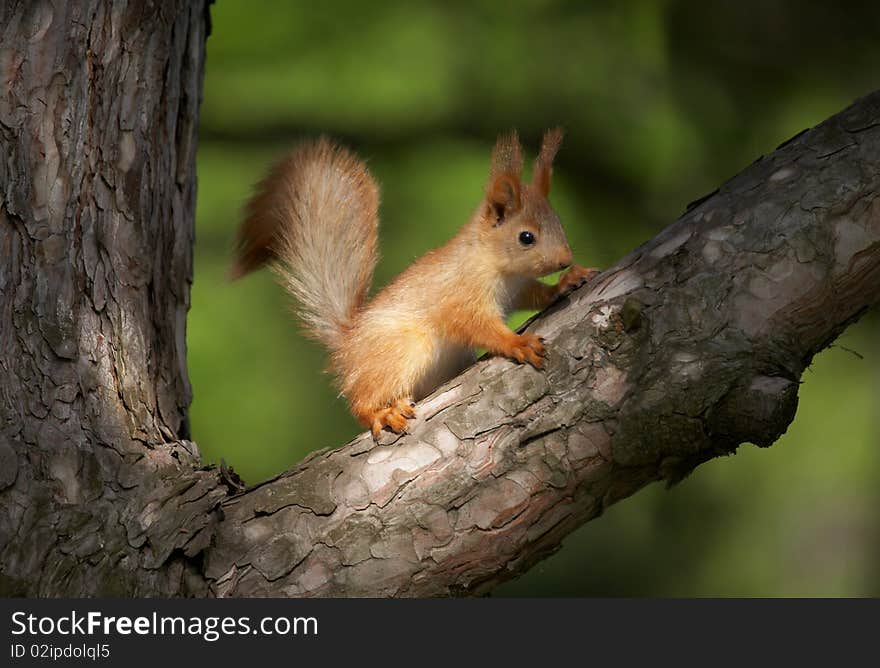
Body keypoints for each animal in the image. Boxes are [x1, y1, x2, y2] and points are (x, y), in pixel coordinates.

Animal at [229, 129, 600, 438]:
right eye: (526, 237)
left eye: (558, 222)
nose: (565, 259)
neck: (495, 265)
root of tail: (348, 345)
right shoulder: (461, 295)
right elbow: (478, 326)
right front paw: (516, 343)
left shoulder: (518, 287)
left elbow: (536, 294)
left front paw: (567, 281)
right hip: (405, 348)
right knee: (361, 401)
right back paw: (381, 414)